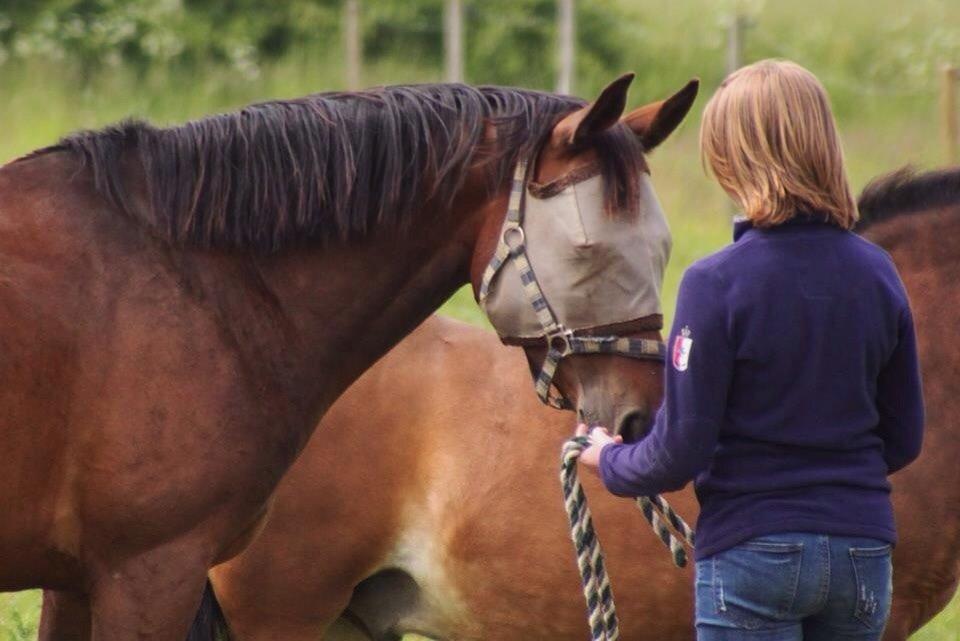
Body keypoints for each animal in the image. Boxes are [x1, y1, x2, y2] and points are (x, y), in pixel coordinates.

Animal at [3, 74, 700, 636]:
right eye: (588, 248)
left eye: (664, 247)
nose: (644, 417)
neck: (185, 282)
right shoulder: (147, 575)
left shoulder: (75, 582)